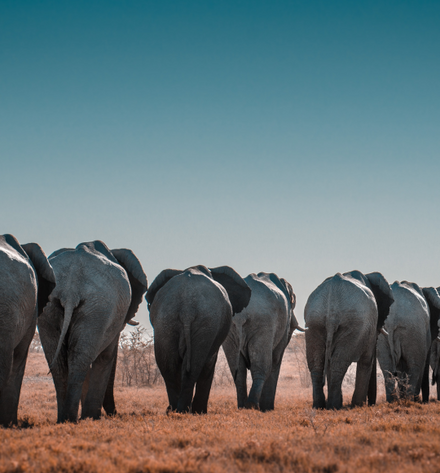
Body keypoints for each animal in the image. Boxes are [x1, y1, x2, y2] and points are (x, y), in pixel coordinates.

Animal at [38, 242, 148, 422]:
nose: (115, 414)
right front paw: (92, 417)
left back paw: (64, 419)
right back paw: (77, 418)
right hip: (99, 307)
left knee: (60, 362)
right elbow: (106, 356)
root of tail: (70, 290)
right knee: (81, 360)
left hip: (50, 308)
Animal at [146, 264, 251, 412]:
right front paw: (199, 412)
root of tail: (187, 309)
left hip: (165, 320)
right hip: (206, 322)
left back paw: (174, 410)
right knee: (195, 366)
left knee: (169, 367)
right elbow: (210, 362)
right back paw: (185, 411)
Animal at [222, 272, 304, 412]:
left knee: (238, 371)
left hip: (230, 329)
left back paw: (242, 406)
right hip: (263, 322)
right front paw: (268, 408)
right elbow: (276, 360)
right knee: (263, 365)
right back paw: (253, 405)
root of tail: (241, 313)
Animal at [304, 272, 394, 408]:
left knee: (317, 364)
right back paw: (334, 406)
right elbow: (367, 360)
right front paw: (358, 405)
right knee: (339, 362)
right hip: (354, 325)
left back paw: (320, 405)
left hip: (314, 321)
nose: (371, 404)